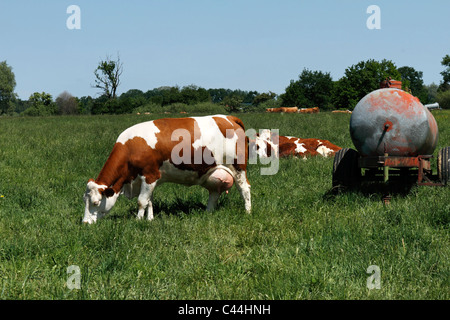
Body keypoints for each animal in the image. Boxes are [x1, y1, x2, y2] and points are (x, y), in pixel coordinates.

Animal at [82, 115, 251, 225]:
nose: (84, 223)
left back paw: (247, 212)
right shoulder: (148, 179)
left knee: (245, 189)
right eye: (85, 200)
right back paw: (208, 213)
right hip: (213, 173)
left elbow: (141, 201)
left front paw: (138, 221)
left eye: (96, 202)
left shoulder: (150, 175)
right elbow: (149, 201)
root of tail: (228, 117)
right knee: (214, 193)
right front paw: (150, 219)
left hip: (237, 167)